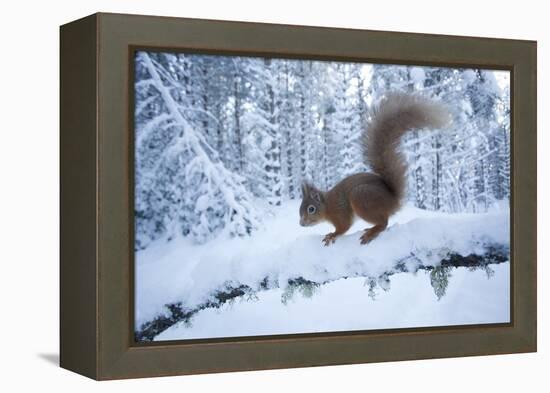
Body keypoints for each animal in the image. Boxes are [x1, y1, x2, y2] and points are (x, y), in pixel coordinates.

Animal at [300, 92, 450, 245]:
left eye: (311, 209)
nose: (301, 223)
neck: (327, 205)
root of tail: (393, 201)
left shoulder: (340, 213)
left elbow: (343, 227)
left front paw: (332, 235)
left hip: (361, 198)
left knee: (384, 223)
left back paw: (371, 232)